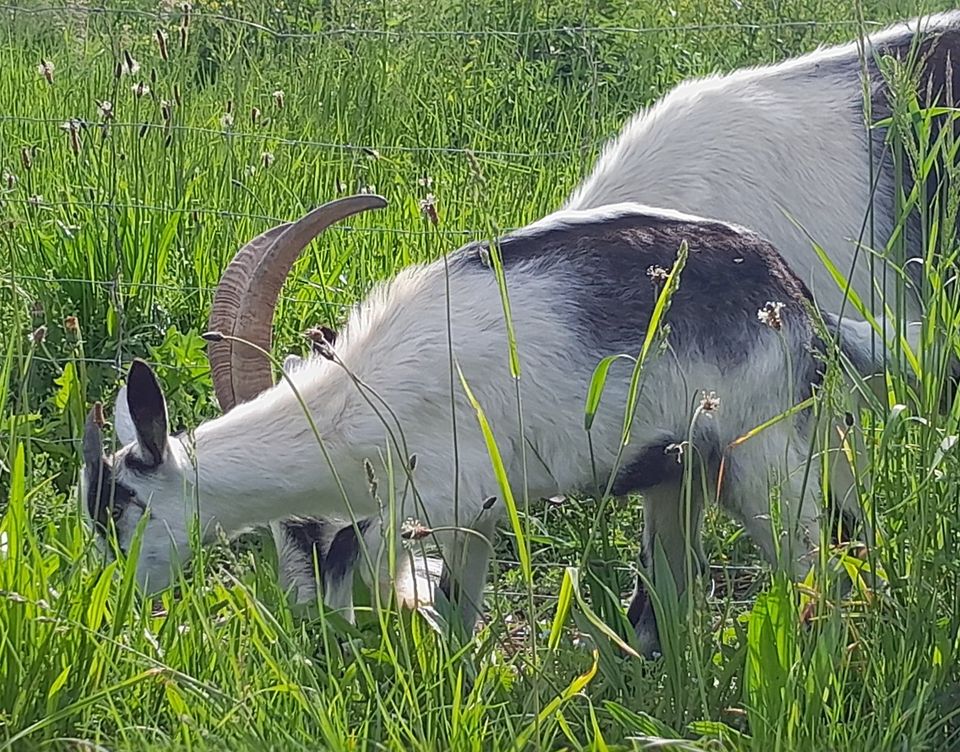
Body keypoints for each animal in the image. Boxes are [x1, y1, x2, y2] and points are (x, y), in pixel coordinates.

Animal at [80, 197, 900, 656]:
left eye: (121, 509)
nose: (111, 604)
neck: (359, 406)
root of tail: (797, 301)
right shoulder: (469, 521)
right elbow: (457, 613)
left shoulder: (448, 502)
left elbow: (423, 596)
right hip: (684, 472)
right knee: (668, 591)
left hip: (768, 463)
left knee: (824, 575)